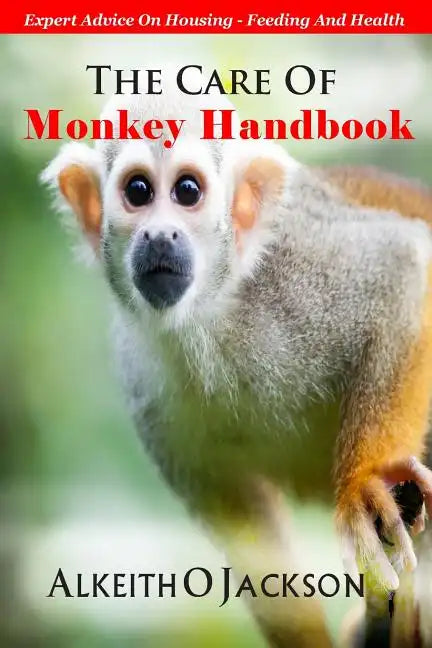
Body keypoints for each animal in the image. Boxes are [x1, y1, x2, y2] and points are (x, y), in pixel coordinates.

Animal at [42, 88, 432, 648]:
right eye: (138, 191)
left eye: (187, 191)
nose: (160, 235)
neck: (207, 316)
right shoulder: (141, 380)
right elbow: (248, 535)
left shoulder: (295, 270)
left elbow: (402, 263)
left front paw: (364, 485)